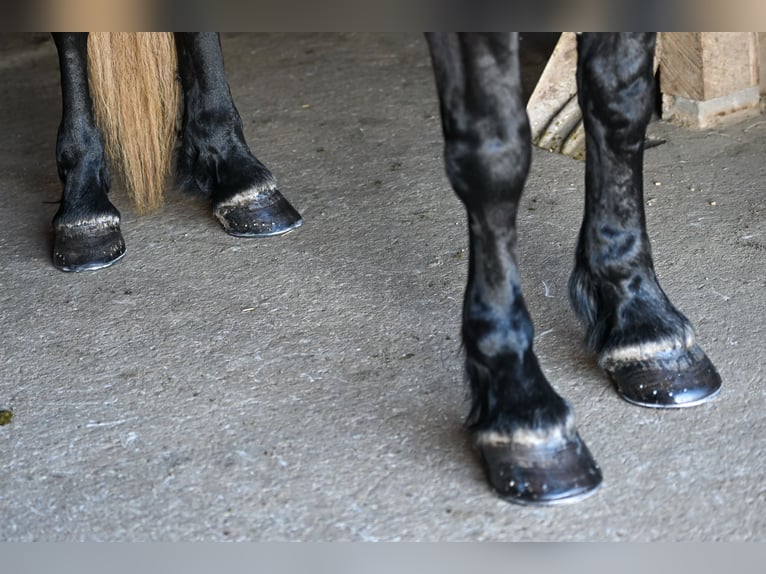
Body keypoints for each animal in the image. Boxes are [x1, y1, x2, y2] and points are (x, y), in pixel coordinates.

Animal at [51, 32, 722, 505]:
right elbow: (494, 151)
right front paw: (520, 406)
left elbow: (620, 97)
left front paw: (641, 320)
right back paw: (84, 206)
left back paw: (234, 170)